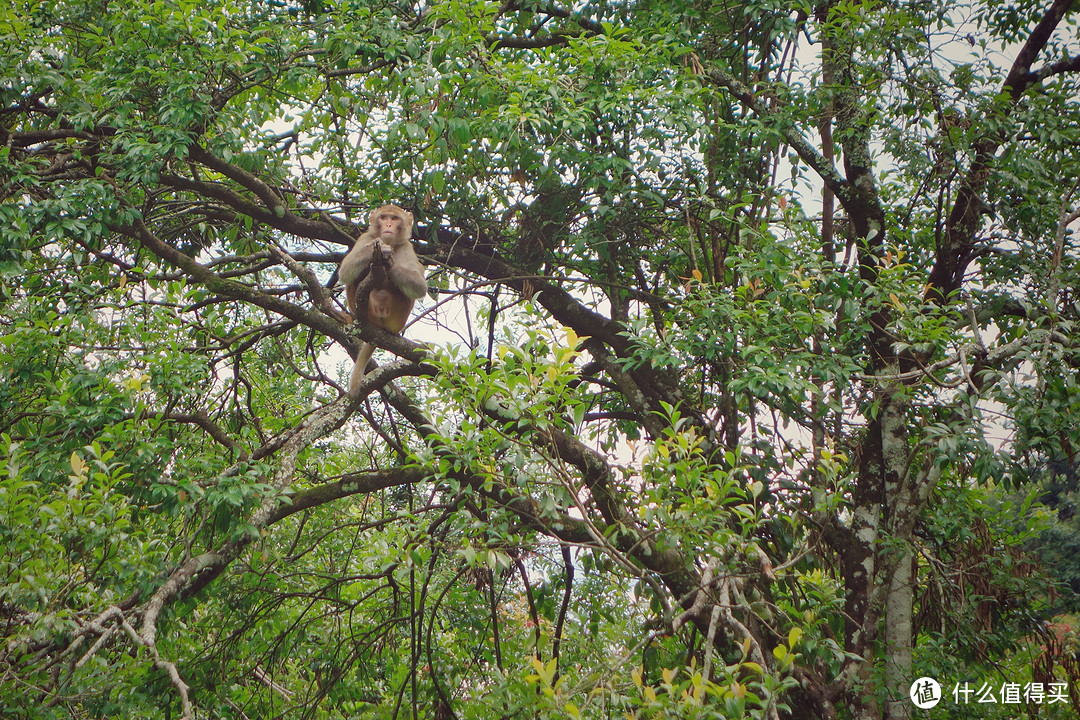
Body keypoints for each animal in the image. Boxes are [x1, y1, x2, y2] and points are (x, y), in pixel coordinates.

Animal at [336, 202, 425, 397]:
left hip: (398, 317)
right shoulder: (365, 237)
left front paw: (390, 262)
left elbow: (420, 286)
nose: (388, 225)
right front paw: (380, 250)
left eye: (395, 218)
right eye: (384, 217)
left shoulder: (407, 247)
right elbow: (345, 271)